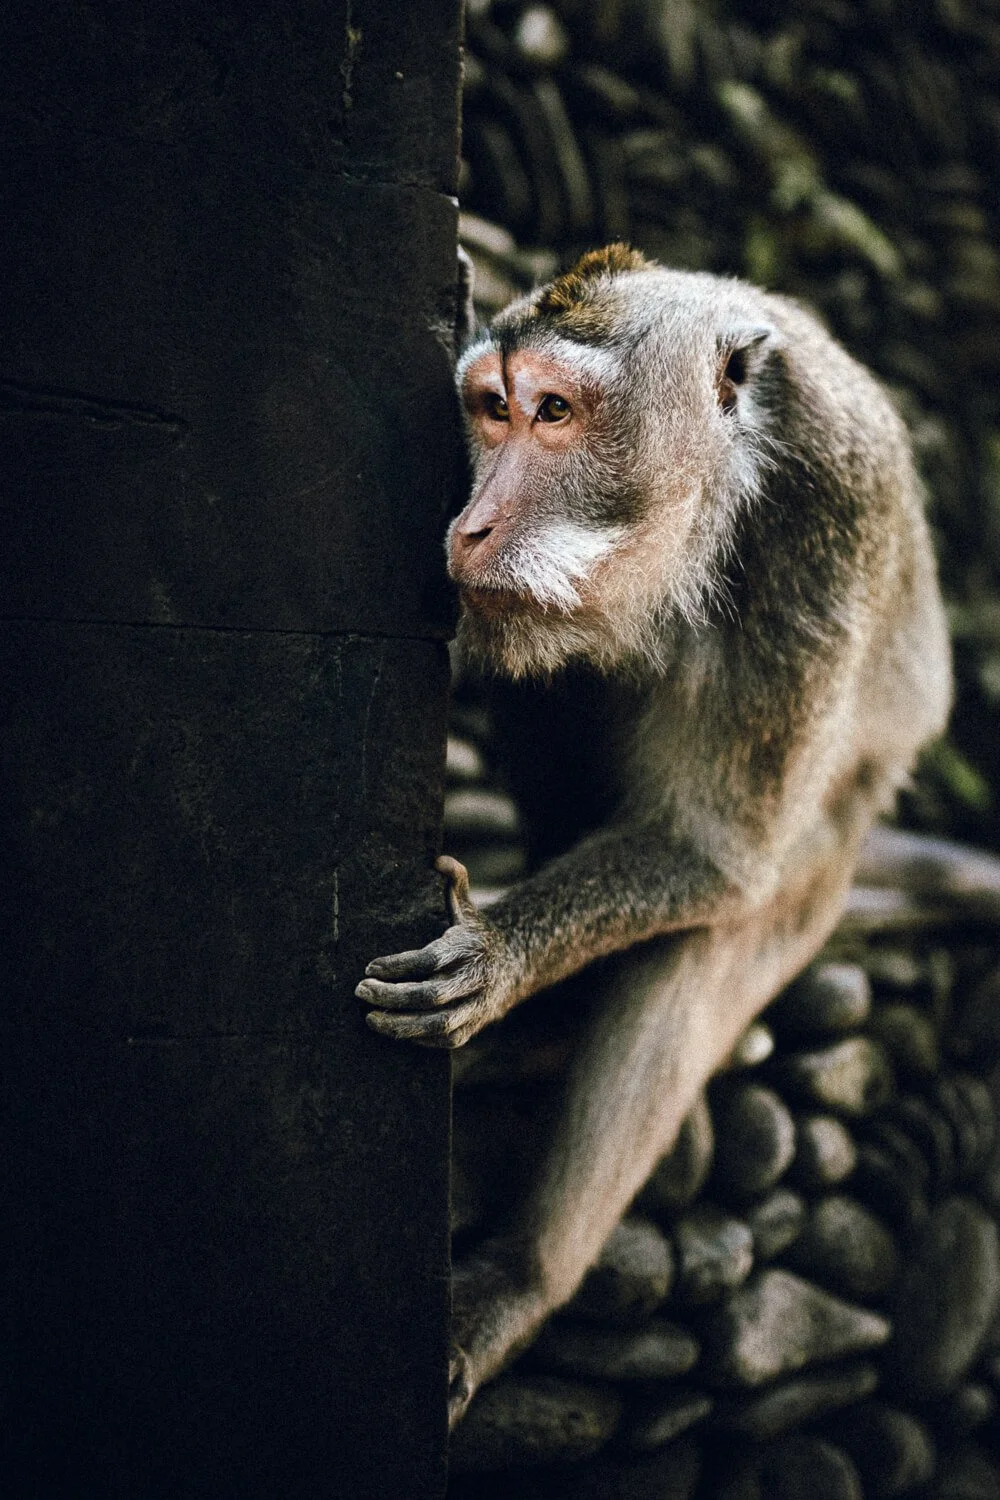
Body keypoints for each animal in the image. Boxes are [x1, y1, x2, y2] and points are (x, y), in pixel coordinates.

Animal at [355, 244, 952, 1426]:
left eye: (554, 412)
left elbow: (715, 855)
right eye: (489, 410)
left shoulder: (830, 524)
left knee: (705, 942)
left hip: (828, 854)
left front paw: (501, 954)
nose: (468, 528)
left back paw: (520, 1281)